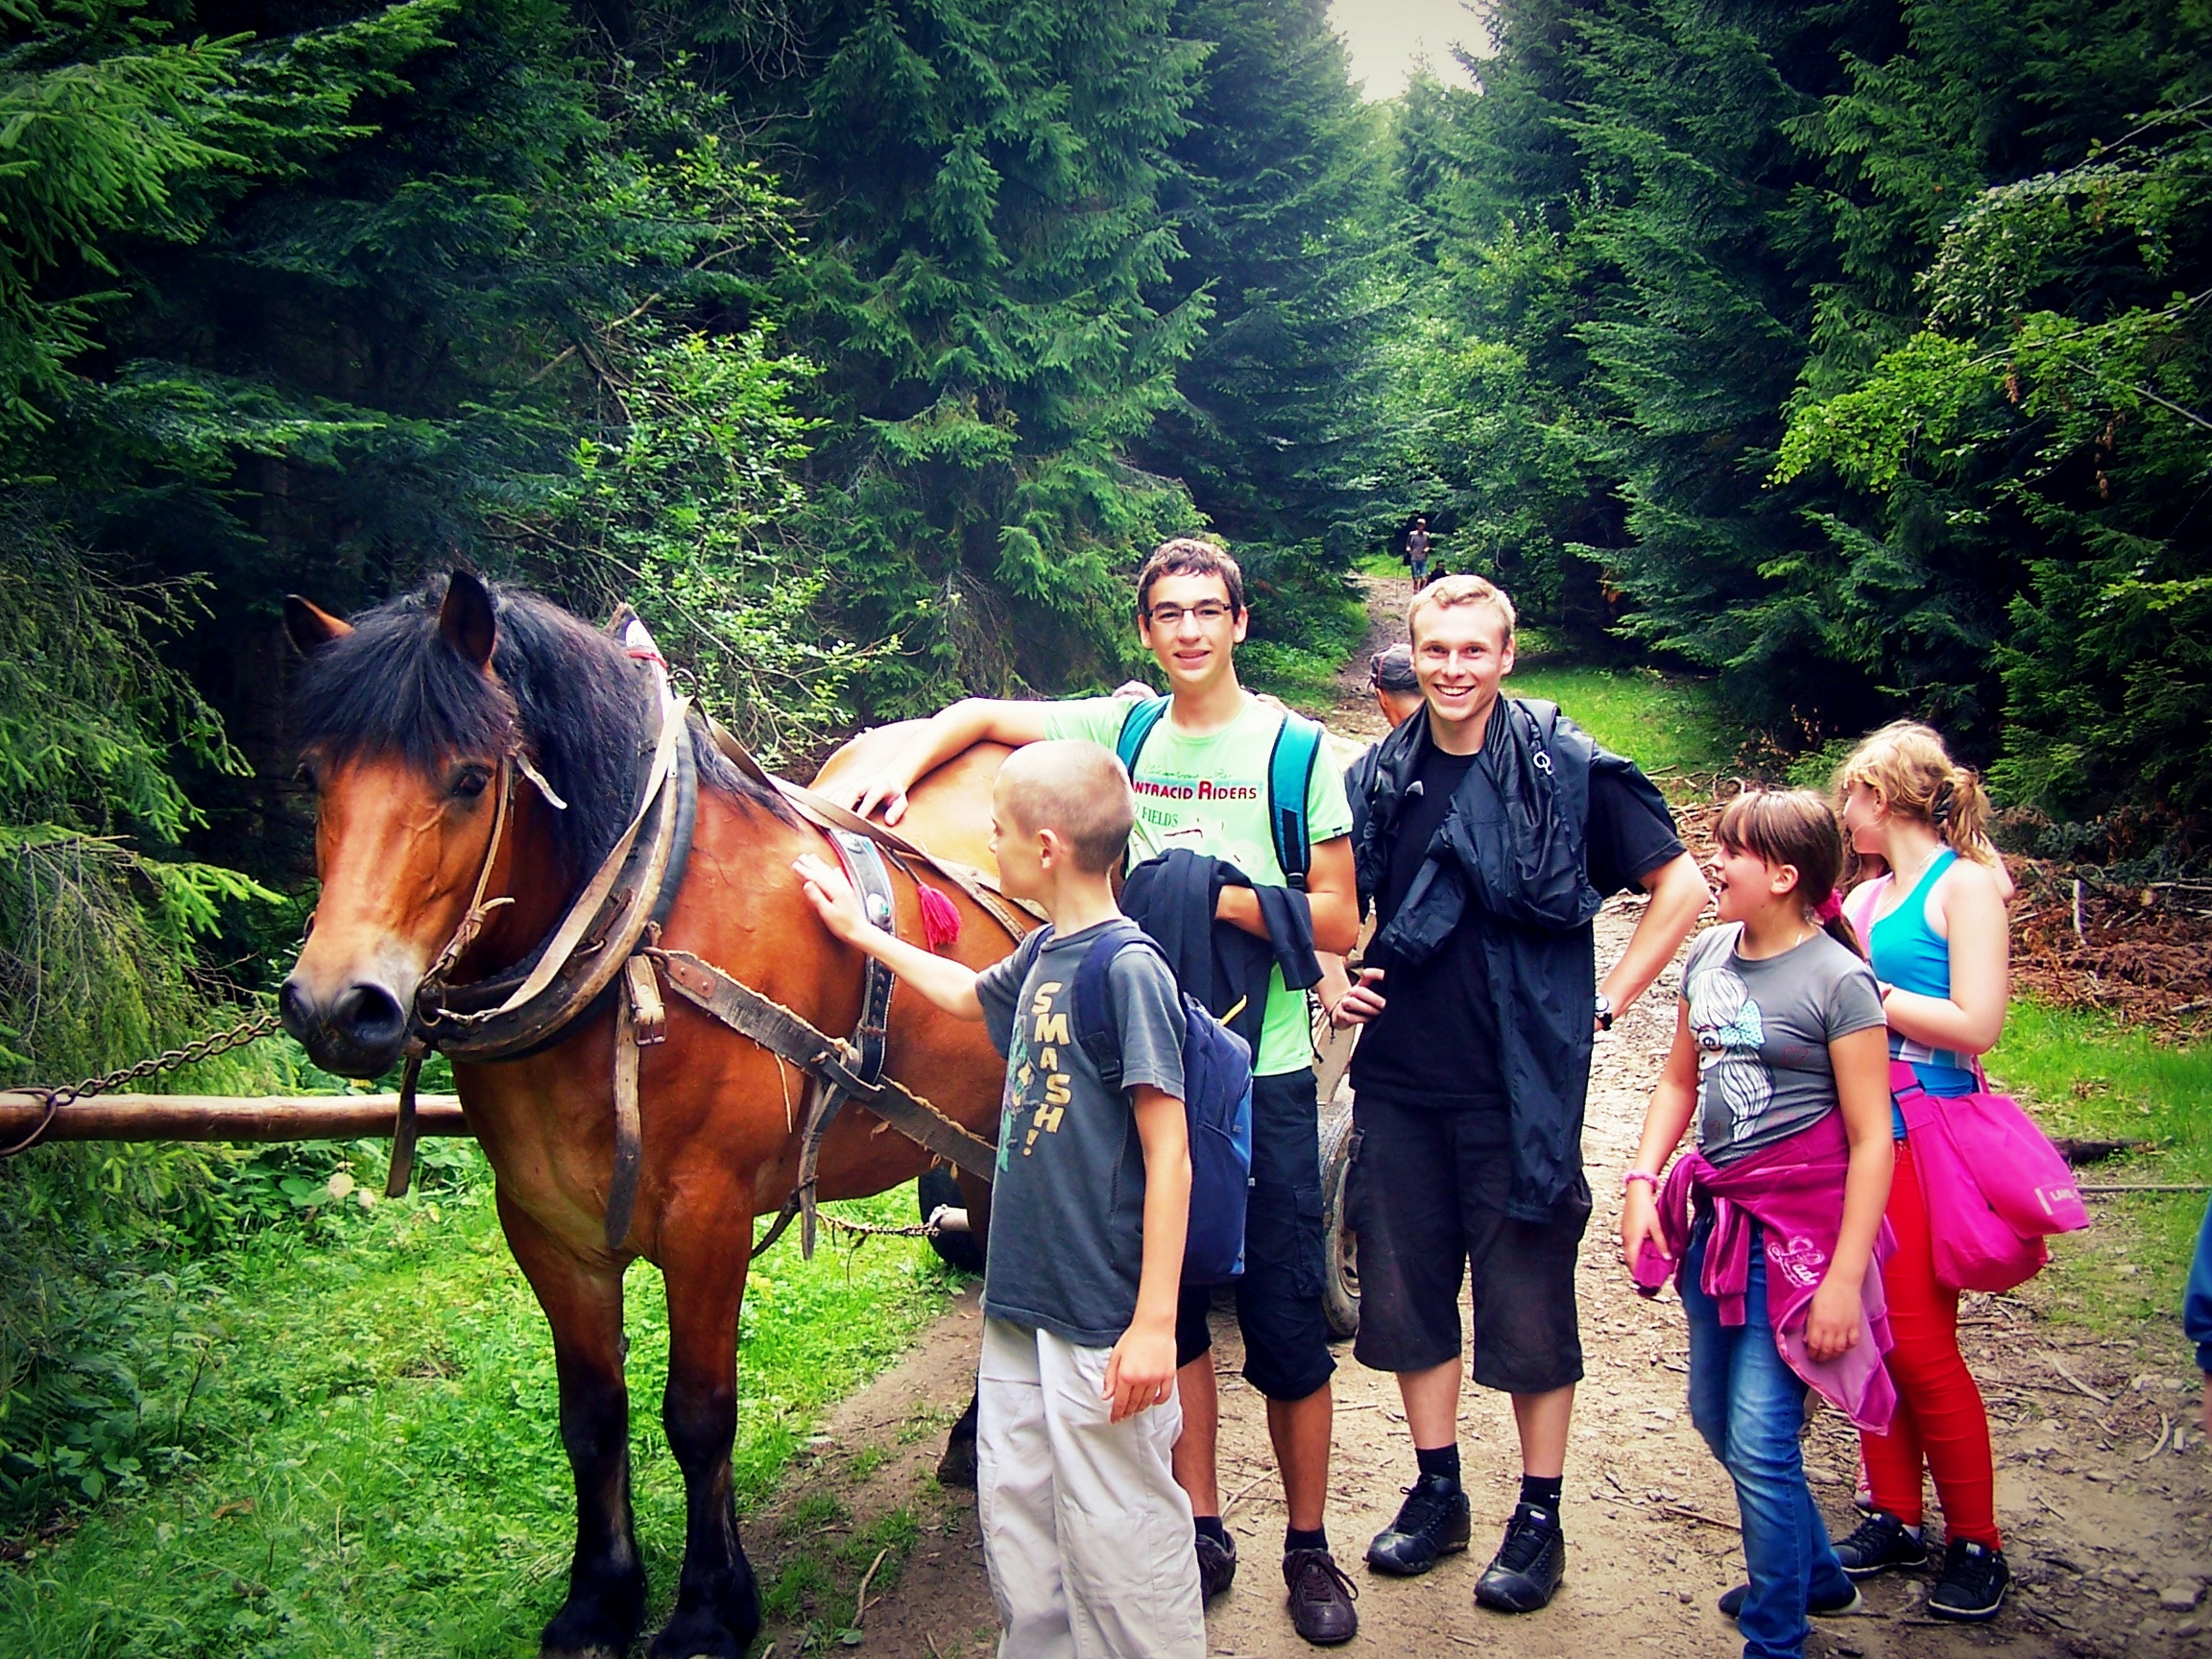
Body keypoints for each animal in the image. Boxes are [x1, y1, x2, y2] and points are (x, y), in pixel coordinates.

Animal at [278, 571, 1017, 1659]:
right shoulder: (544, 1226)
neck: (639, 934)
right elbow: (592, 1416)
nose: (337, 1004)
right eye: (314, 775)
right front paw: (599, 1596)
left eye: (470, 779)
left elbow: (699, 1414)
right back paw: (976, 1437)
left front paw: (710, 1606)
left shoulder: (707, 1215)